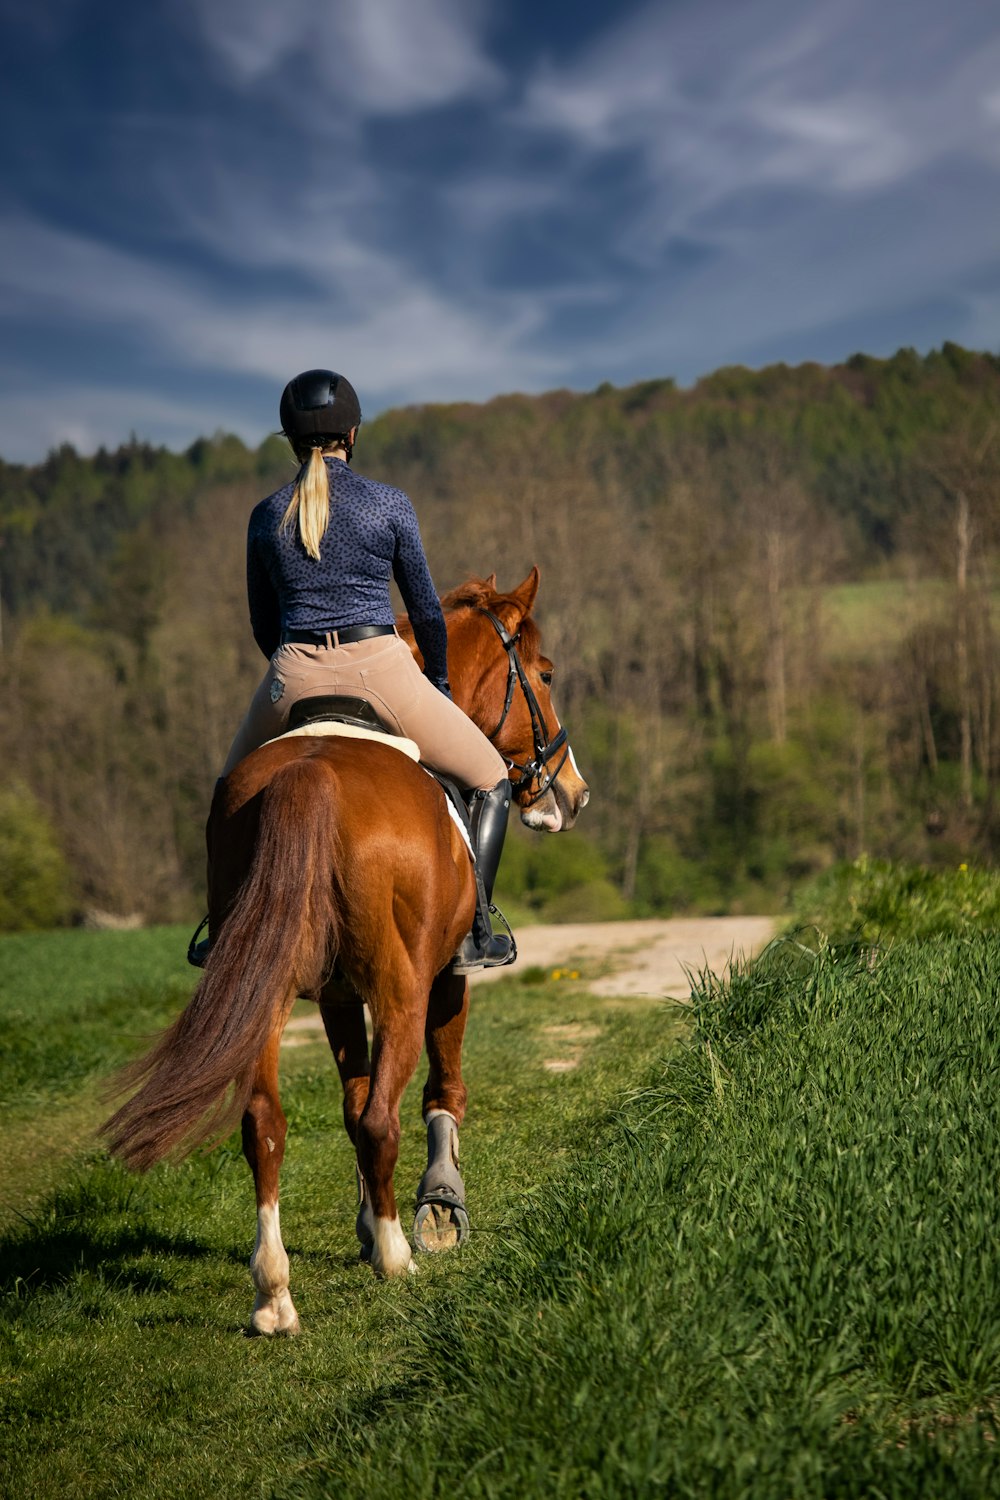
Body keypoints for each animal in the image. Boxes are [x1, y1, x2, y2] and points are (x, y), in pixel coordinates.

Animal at [101, 567, 590, 1332]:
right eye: (544, 674)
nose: (572, 795)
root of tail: (312, 775)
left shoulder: (333, 995)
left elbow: (349, 1098)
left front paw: (368, 1221)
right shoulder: (445, 975)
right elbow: (436, 1090)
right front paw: (437, 1210)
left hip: (264, 987)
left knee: (265, 1124)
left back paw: (274, 1295)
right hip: (399, 988)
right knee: (383, 1115)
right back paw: (395, 1256)